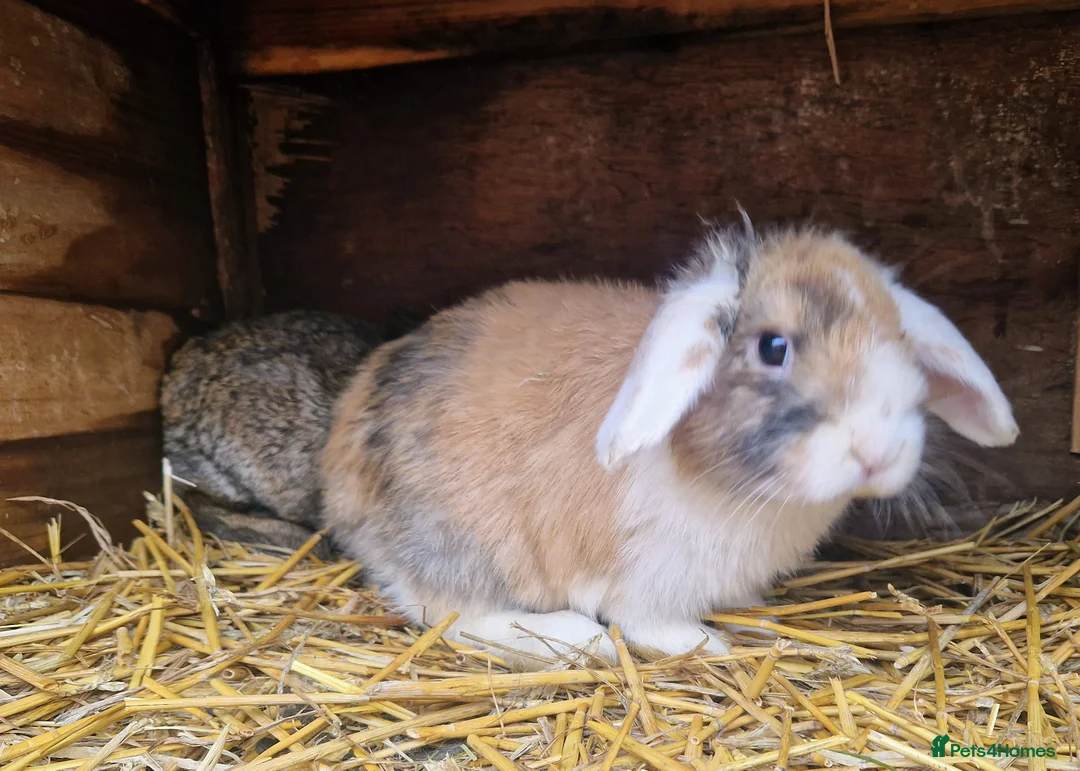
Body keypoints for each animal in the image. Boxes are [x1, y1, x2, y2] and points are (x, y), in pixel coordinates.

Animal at [321, 224, 1018, 669]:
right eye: (773, 347)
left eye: (900, 341)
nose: (877, 452)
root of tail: (341, 473)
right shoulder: (644, 578)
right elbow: (648, 623)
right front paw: (704, 646)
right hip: (468, 547)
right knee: (454, 614)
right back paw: (578, 641)